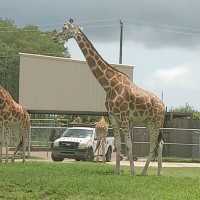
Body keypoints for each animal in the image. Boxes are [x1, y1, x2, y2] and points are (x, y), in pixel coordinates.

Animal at [57, 20, 166, 176]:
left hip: (156, 122)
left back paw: (144, 172)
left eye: (65, 28)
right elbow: (118, 144)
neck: (108, 85)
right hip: (149, 122)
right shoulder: (113, 116)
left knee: (154, 144)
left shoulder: (124, 116)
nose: (56, 37)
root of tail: (164, 106)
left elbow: (129, 144)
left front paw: (132, 172)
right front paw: (117, 172)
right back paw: (155, 172)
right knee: (159, 143)